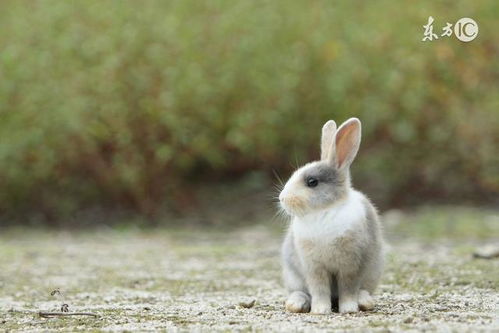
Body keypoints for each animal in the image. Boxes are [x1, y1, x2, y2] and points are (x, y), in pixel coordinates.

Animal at [280, 117, 384, 314]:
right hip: (292, 276)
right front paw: (320, 310)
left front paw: (349, 309)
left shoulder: (350, 265)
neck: (324, 211)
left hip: (372, 273)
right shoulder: (314, 267)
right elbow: (319, 289)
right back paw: (296, 304)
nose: (282, 199)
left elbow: (348, 288)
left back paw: (364, 302)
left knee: (363, 289)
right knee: (299, 291)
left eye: (312, 182)